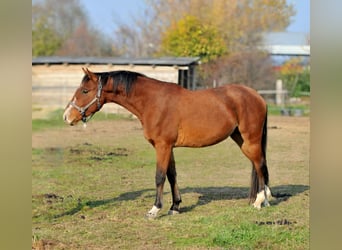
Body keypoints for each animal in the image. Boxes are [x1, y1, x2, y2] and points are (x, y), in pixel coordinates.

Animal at [63, 68, 272, 217]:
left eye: (85, 90)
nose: (67, 117)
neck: (153, 101)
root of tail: (258, 96)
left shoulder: (162, 146)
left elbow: (159, 176)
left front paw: (155, 209)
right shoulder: (168, 147)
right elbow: (172, 175)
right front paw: (175, 206)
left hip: (250, 140)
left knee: (260, 165)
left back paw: (259, 201)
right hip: (241, 140)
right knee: (259, 164)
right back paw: (266, 199)